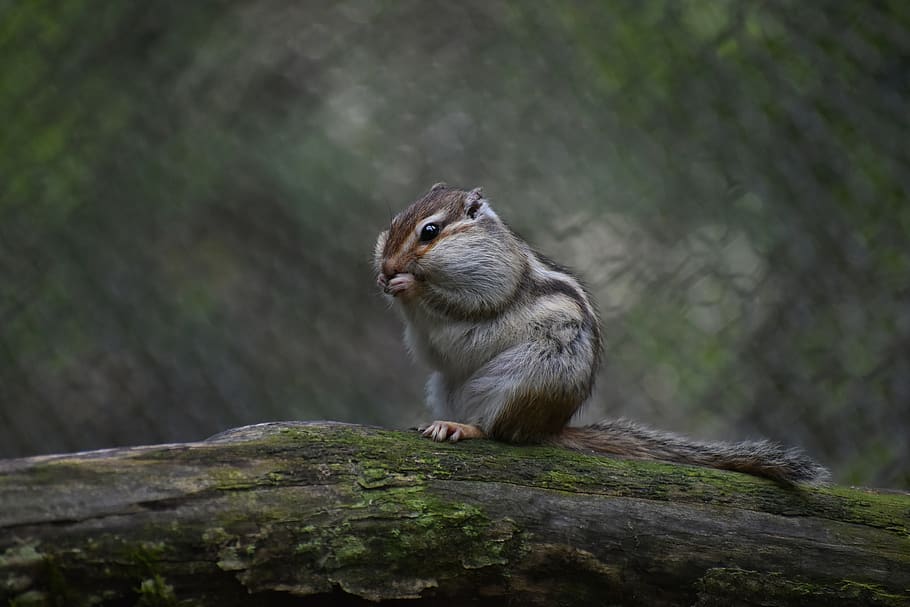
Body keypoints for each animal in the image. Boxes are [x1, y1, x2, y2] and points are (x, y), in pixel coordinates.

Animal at [374, 183, 829, 485]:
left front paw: (409, 285)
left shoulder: (493, 283)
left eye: (429, 231)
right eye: (393, 223)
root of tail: (549, 426)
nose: (386, 268)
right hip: (445, 386)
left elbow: (463, 305)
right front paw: (386, 282)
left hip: (523, 381)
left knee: (499, 432)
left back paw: (464, 428)